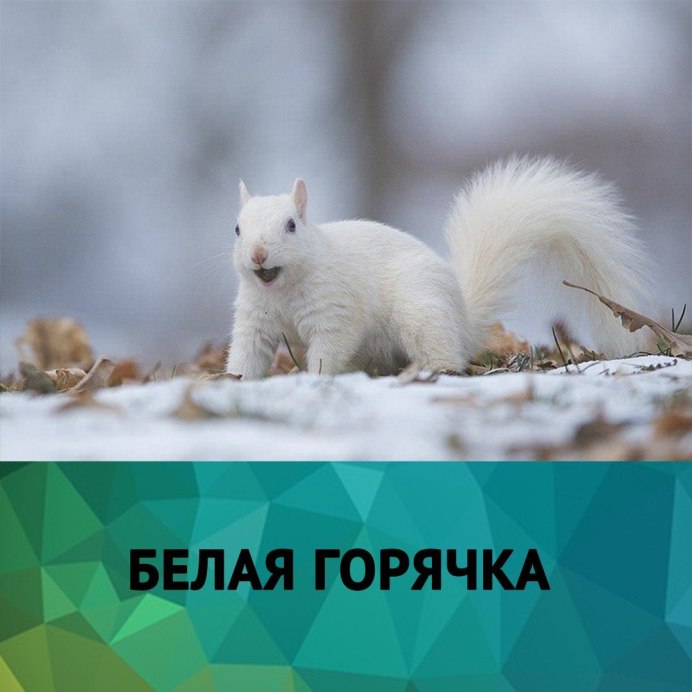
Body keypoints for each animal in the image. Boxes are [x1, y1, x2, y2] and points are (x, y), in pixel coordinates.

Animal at [225, 157, 649, 380]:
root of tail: (463, 322)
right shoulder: (254, 319)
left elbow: (330, 347)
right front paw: (237, 379)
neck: (281, 291)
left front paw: (315, 376)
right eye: (237, 229)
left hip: (420, 310)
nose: (258, 254)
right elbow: (247, 352)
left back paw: (430, 368)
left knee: (447, 354)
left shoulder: (336, 310)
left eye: (291, 226)